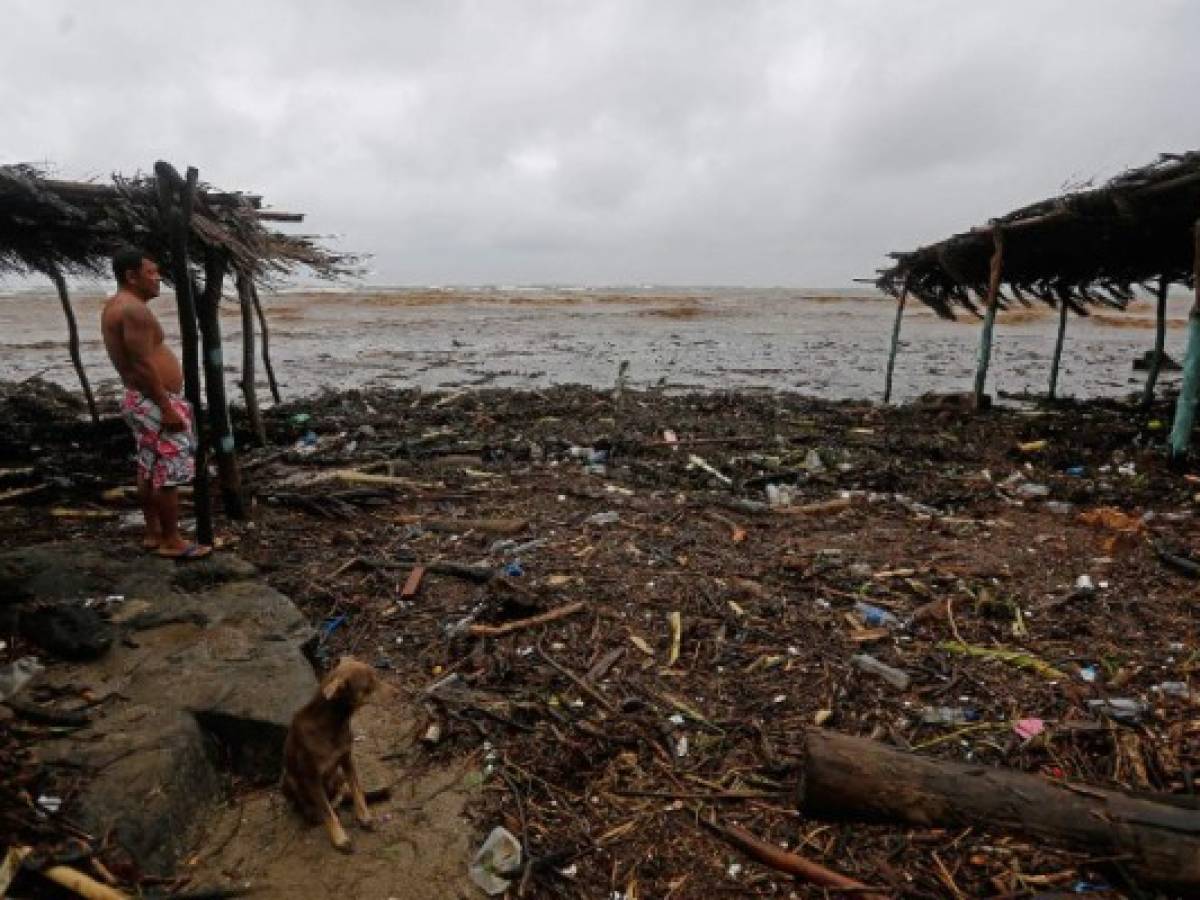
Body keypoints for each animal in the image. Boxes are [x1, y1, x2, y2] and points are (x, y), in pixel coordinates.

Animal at [282, 657, 379, 854]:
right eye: (369, 686)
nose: (396, 692)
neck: (332, 723)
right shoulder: (311, 777)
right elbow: (327, 812)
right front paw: (340, 839)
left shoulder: (346, 758)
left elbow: (357, 790)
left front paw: (364, 817)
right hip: (288, 780)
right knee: (306, 804)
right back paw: (312, 813)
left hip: (337, 775)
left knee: (340, 794)